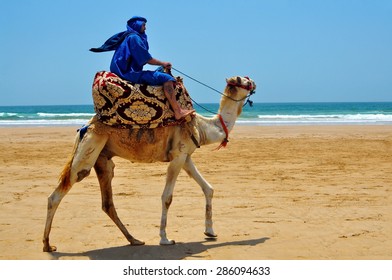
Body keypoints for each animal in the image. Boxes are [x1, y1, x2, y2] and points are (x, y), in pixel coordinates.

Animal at [43, 74, 258, 252]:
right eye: (244, 80)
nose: (254, 83)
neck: (203, 127)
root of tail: (85, 127)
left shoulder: (185, 156)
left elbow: (208, 188)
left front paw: (210, 231)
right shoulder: (178, 156)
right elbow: (167, 197)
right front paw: (165, 239)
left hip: (102, 159)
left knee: (107, 202)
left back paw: (134, 240)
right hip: (90, 149)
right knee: (57, 194)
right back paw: (47, 245)